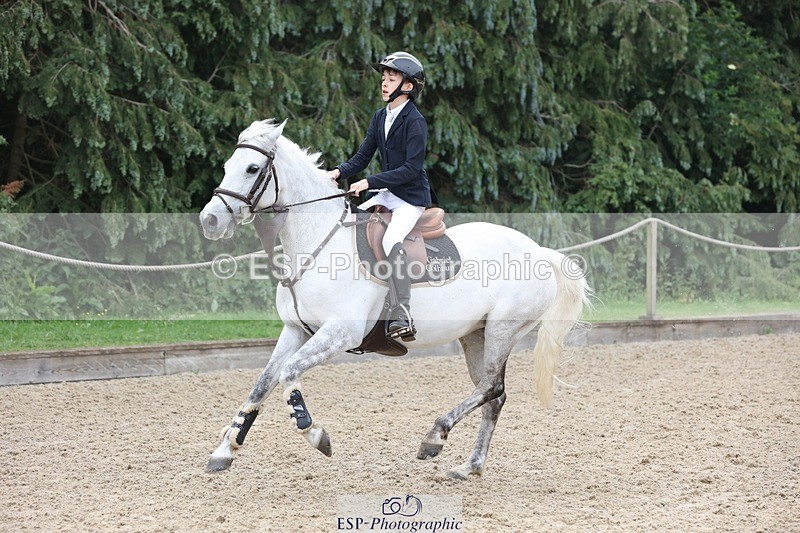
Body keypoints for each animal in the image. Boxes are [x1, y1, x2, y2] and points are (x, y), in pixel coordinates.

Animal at [199, 119, 590, 479]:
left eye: (252, 169)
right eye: (227, 165)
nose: (210, 220)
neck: (317, 243)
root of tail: (539, 251)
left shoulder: (341, 332)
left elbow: (288, 374)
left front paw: (315, 434)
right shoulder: (296, 329)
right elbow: (262, 384)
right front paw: (225, 449)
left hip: (502, 330)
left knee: (492, 387)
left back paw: (435, 436)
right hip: (475, 335)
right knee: (492, 394)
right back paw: (469, 466)